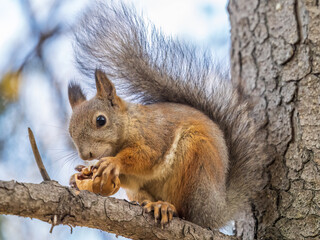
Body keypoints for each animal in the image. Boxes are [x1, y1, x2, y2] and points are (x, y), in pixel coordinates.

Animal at [69, 0, 266, 229]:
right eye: (70, 131)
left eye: (101, 120)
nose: (86, 155)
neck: (130, 123)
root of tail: (216, 211)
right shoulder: (131, 179)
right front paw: (83, 172)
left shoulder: (154, 133)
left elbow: (146, 155)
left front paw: (113, 162)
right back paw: (151, 204)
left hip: (195, 163)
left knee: (187, 212)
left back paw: (166, 207)